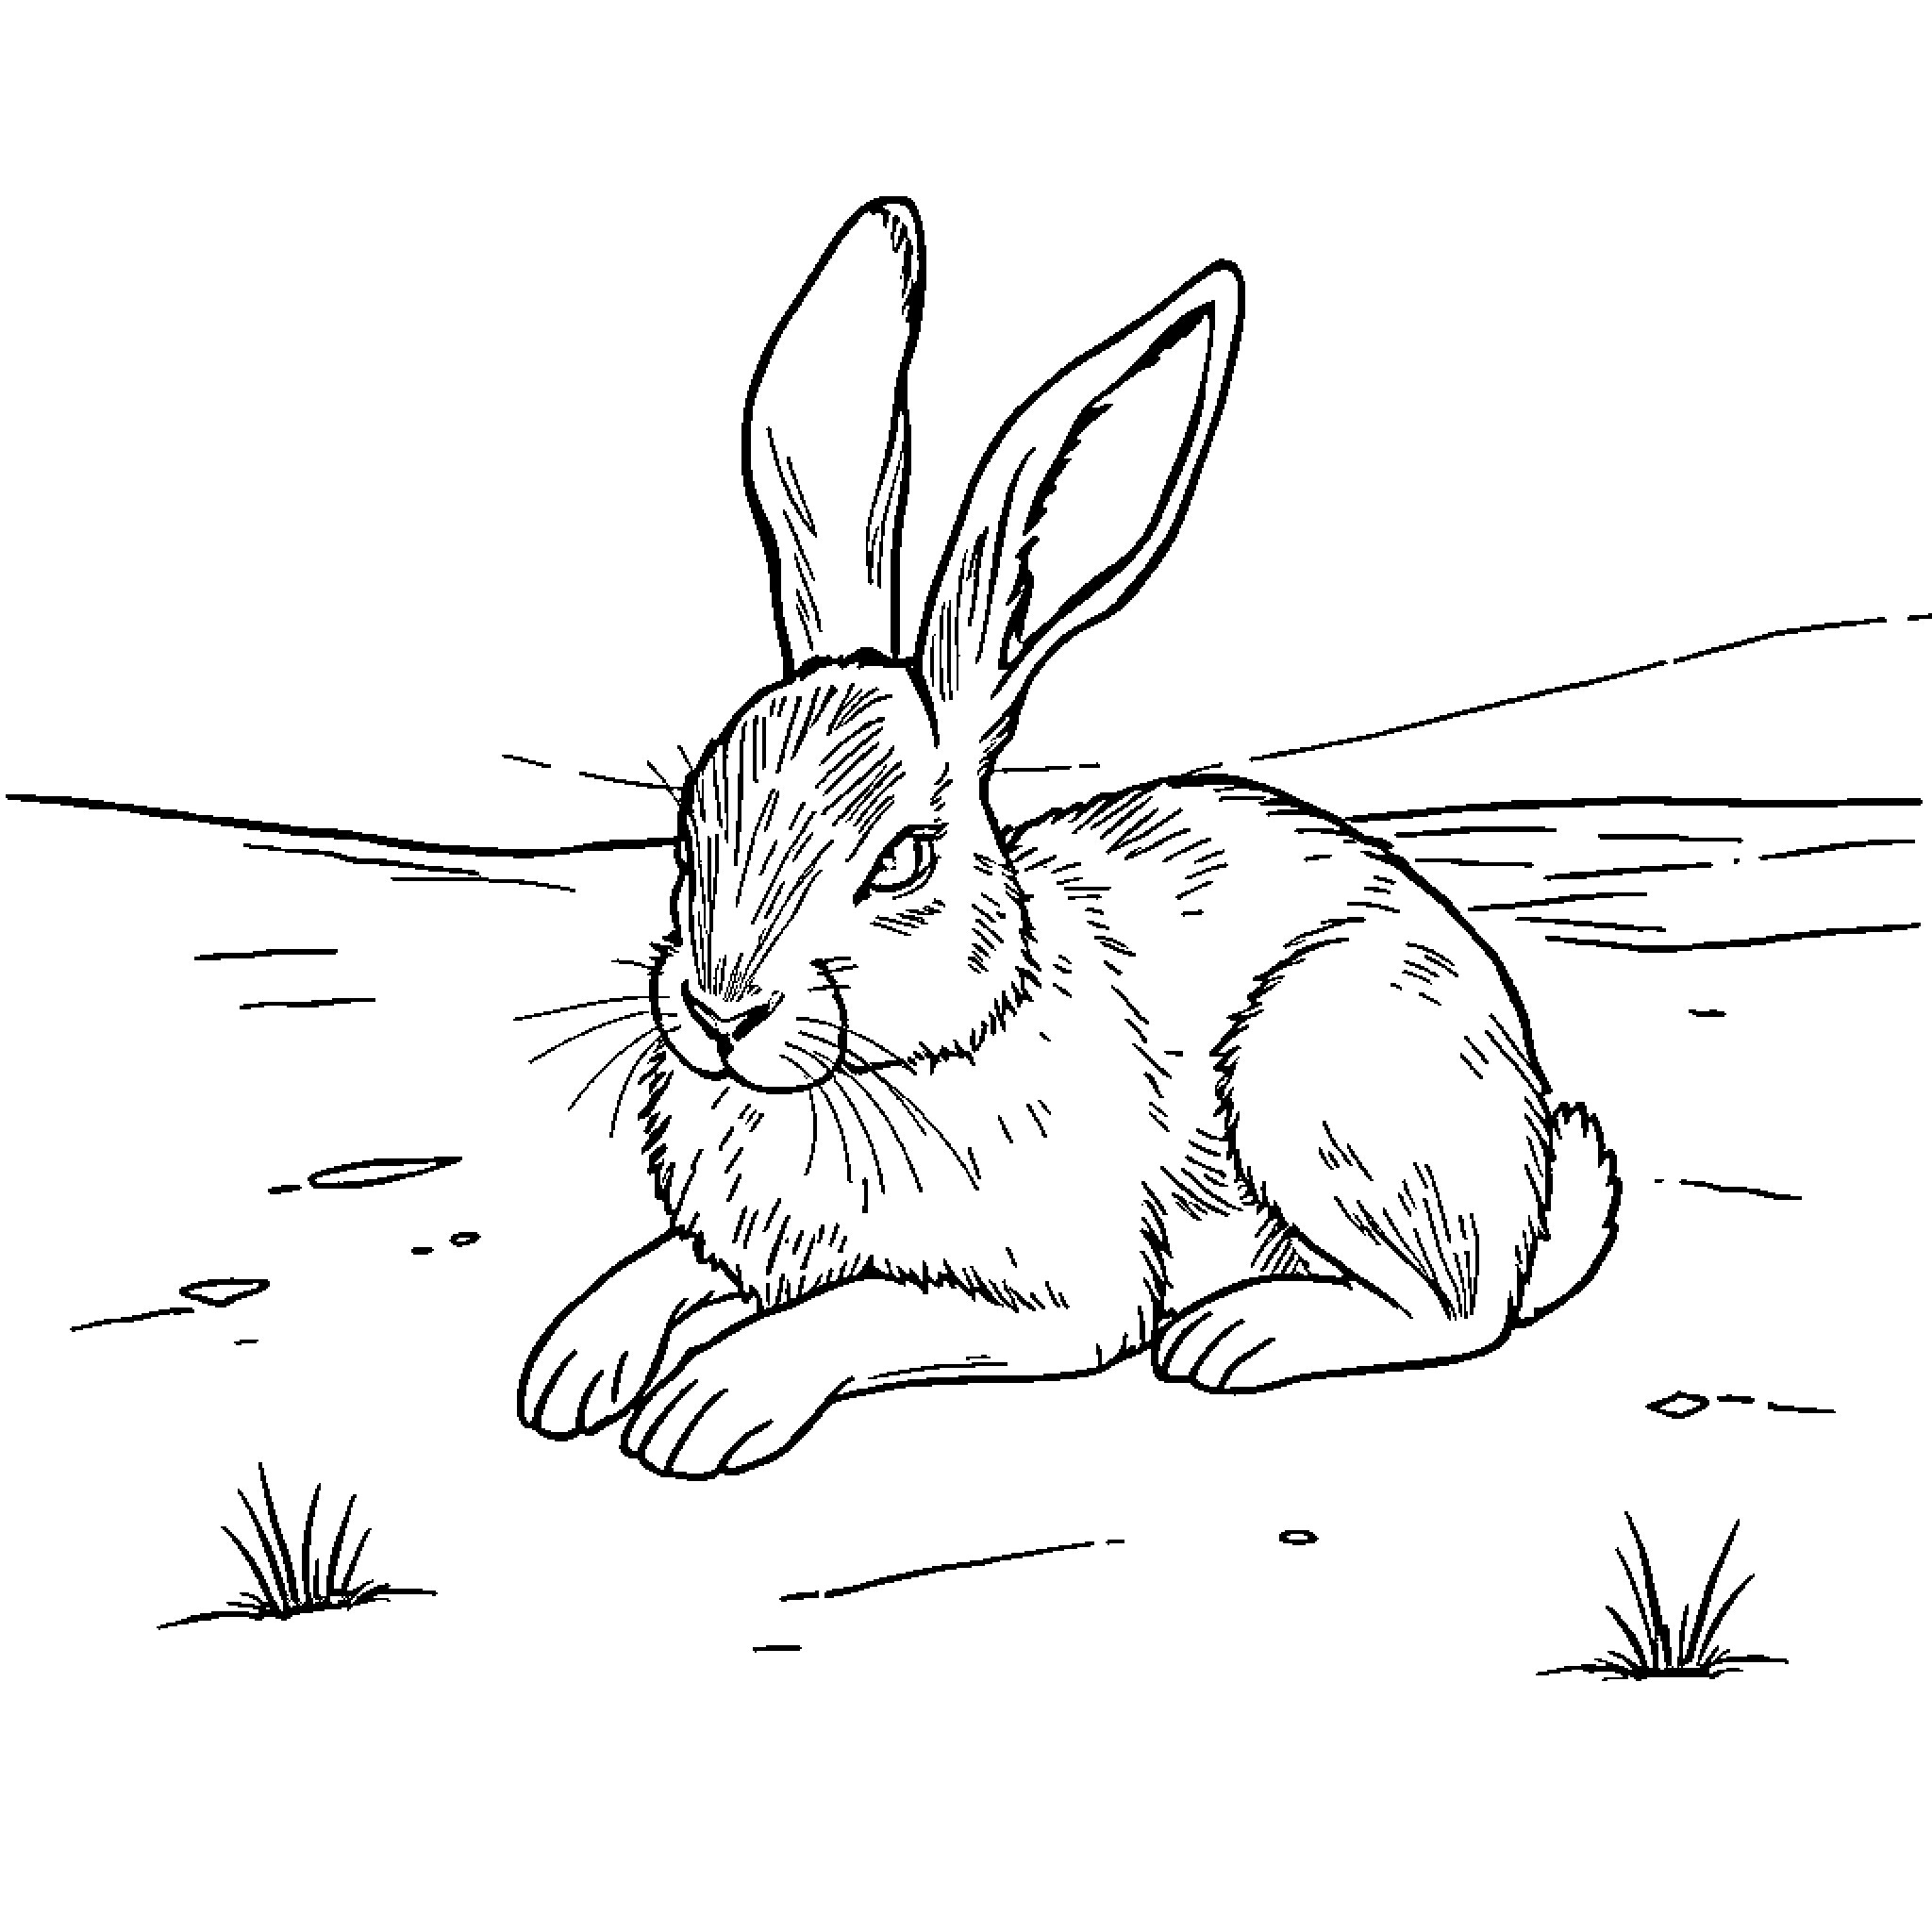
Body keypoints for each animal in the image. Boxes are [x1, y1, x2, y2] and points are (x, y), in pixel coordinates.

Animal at [517, 196, 1621, 1479]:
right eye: (692, 833)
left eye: (901, 859)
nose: (719, 1009)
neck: (922, 1047)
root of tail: (1532, 1183)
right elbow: (664, 1269)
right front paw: (571, 1367)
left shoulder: (1051, 1297)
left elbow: (859, 1307)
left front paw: (704, 1406)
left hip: (1326, 1093)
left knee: (1454, 1309)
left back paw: (1240, 1333)